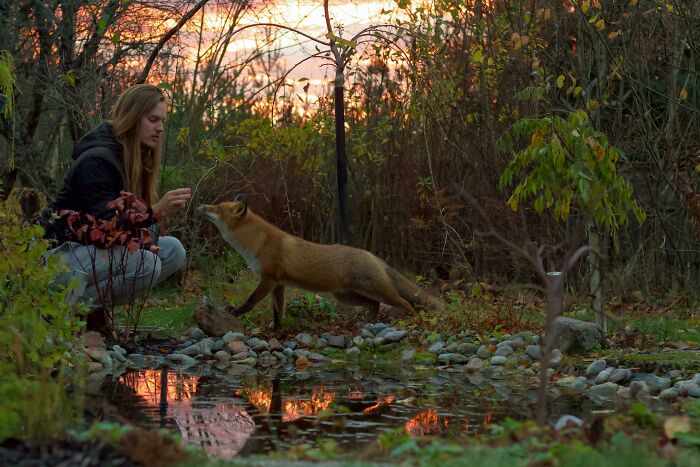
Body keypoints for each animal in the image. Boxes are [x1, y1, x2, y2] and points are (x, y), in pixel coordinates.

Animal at [197, 198, 442, 330]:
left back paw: (415, 323)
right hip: (346, 296)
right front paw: (278, 331)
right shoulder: (278, 284)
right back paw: (367, 324)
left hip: (379, 291)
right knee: (374, 305)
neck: (257, 243)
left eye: (217, 209)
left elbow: (250, 302)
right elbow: (278, 311)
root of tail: (373, 256)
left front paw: (235, 313)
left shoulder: (268, 279)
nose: (200, 206)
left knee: (405, 303)